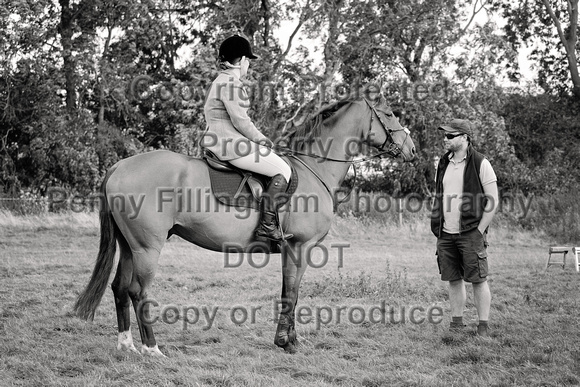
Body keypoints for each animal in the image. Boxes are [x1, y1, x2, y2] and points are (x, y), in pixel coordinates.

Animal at [73, 97, 416, 358]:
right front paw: (287, 343)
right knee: (137, 291)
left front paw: (288, 340)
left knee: (119, 287)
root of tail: (120, 165)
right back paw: (152, 348)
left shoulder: (291, 249)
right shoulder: (299, 246)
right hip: (147, 247)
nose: (411, 149)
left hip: (130, 245)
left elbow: (289, 292)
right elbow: (292, 292)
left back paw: (126, 345)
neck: (313, 169)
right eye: (388, 113)